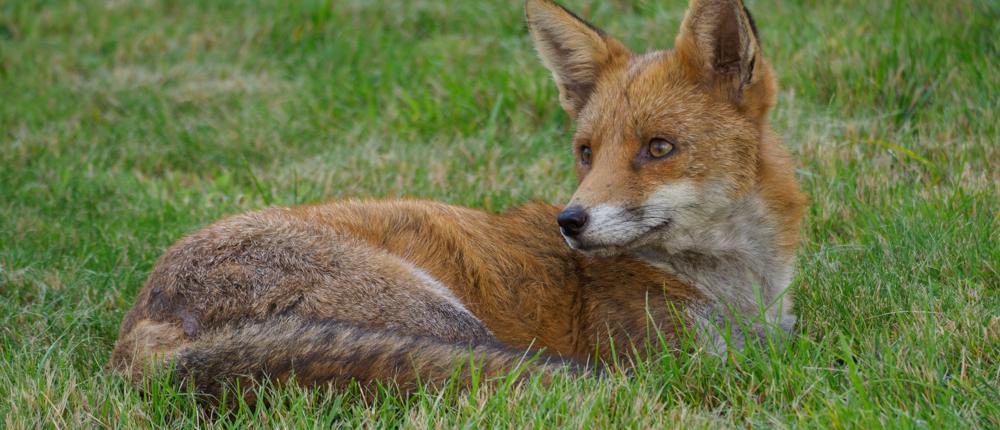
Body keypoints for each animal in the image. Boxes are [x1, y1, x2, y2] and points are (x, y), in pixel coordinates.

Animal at [110, 0, 806, 399]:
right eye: (587, 151)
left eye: (659, 148)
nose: (571, 222)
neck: (739, 293)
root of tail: (141, 323)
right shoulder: (679, 358)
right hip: (444, 319)